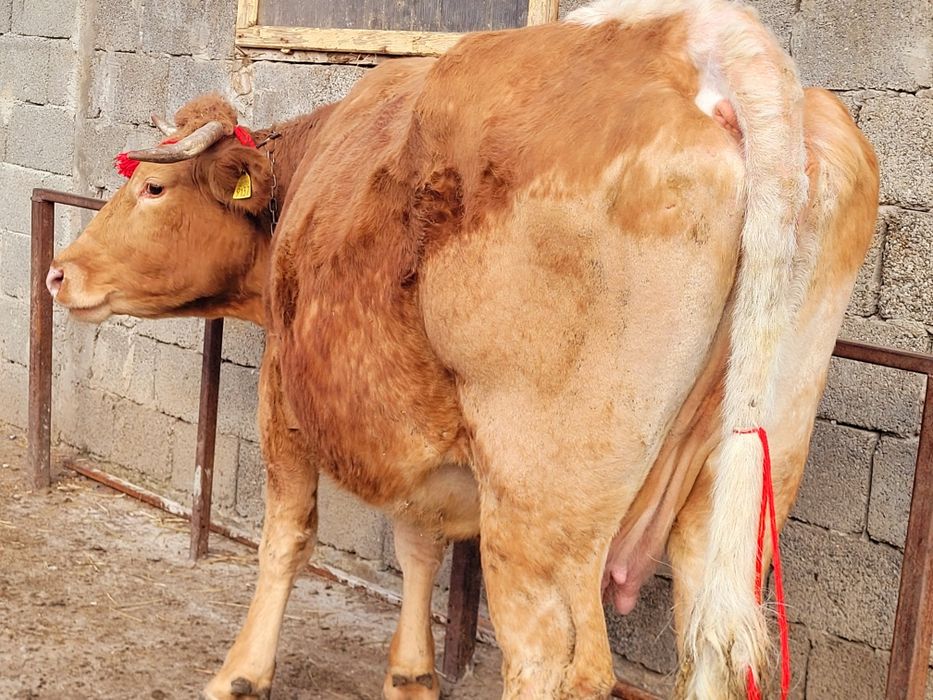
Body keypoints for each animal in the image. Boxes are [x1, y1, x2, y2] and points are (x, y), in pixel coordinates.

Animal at [47, 0, 879, 697]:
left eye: (153, 188)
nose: (61, 271)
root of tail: (702, 35)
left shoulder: (285, 390)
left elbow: (287, 536)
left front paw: (240, 673)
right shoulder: (422, 428)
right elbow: (418, 540)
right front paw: (410, 674)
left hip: (540, 496)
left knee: (553, 657)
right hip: (740, 483)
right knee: (707, 650)